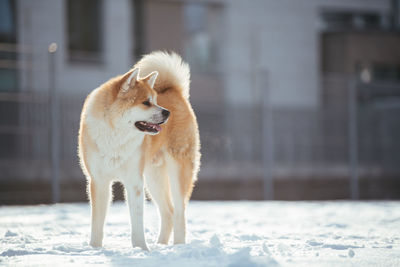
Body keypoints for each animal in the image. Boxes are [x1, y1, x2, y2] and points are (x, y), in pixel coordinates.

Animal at [77, 50, 200, 251]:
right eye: (146, 102)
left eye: (155, 101)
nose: (167, 113)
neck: (115, 135)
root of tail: (175, 91)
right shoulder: (99, 181)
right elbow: (97, 223)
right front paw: (95, 249)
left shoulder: (134, 181)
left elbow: (136, 221)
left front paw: (141, 249)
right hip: (153, 177)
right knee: (168, 212)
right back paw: (161, 244)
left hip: (177, 172)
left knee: (179, 212)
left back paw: (179, 247)